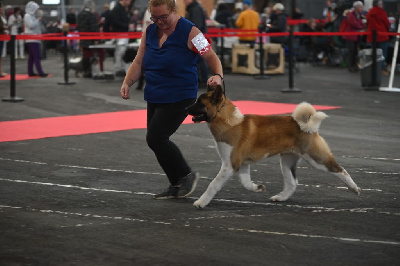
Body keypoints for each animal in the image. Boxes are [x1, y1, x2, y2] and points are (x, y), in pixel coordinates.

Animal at [186, 86, 360, 209]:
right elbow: (245, 182)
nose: (186, 108)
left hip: (316, 158)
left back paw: (354, 188)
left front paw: (201, 202)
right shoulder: (242, 164)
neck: (230, 121)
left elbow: (213, 184)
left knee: (340, 170)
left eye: (200, 103)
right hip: (287, 160)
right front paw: (257, 188)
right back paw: (280, 197)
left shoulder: (229, 165)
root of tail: (308, 126)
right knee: (292, 182)